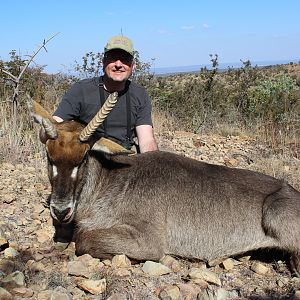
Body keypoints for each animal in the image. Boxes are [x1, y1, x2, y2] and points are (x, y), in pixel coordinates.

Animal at [27, 95, 298, 276]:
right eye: (49, 156)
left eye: (83, 158)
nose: (61, 210)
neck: (110, 181)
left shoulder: (149, 241)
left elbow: (83, 240)